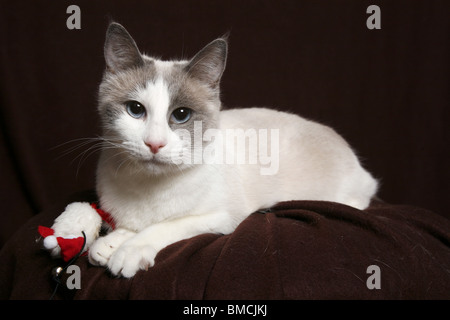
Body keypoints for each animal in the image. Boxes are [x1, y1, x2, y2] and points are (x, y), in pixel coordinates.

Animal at [45, 22, 378, 278]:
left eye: (181, 115)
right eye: (135, 110)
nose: (154, 143)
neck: (147, 186)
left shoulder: (221, 217)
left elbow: (163, 226)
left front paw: (128, 251)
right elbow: (130, 224)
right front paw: (109, 243)